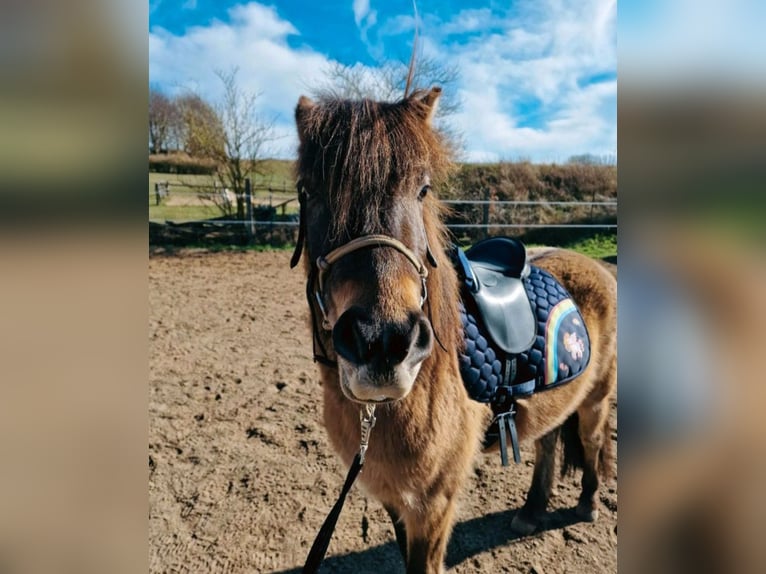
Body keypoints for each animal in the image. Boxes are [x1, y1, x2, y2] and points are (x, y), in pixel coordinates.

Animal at [292, 86, 620, 574]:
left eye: (423, 189)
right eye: (308, 191)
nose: (382, 342)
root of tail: (596, 265)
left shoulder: (433, 504)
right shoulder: (396, 498)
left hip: (596, 400)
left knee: (591, 442)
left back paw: (588, 504)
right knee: (547, 444)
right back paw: (531, 510)